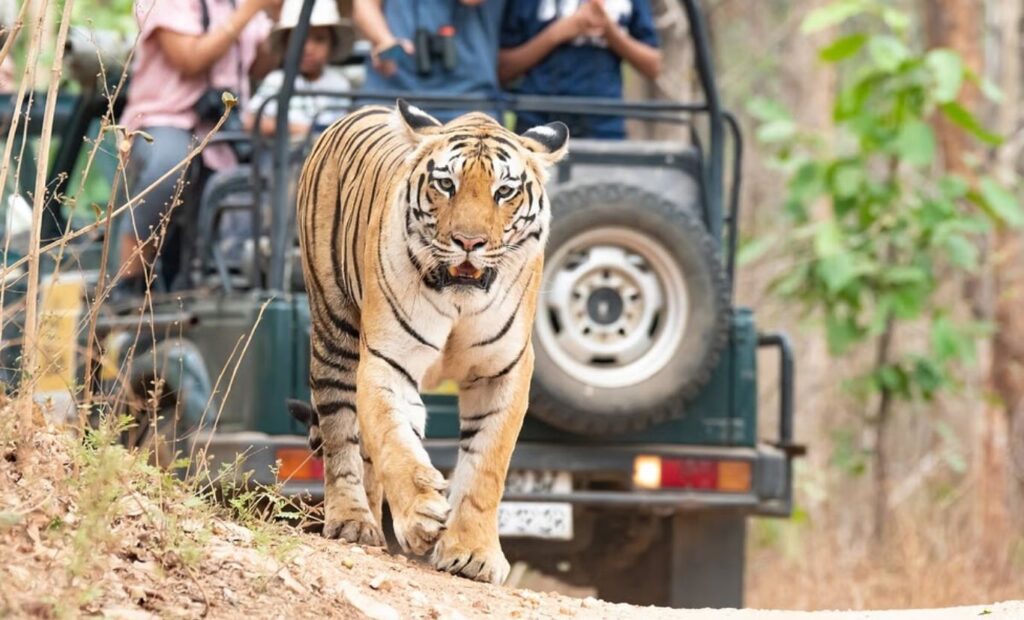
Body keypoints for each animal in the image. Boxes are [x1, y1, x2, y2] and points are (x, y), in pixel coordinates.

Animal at [295, 99, 568, 584]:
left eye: (504, 192)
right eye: (446, 184)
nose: (469, 242)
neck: (459, 300)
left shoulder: (503, 371)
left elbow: (485, 467)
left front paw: (473, 553)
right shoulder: (386, 359)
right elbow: (394, 441)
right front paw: (422, 516)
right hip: (334, 330)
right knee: (342, 432)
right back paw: (353, 521)